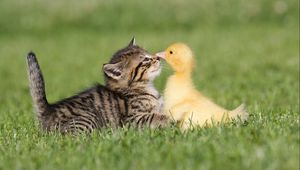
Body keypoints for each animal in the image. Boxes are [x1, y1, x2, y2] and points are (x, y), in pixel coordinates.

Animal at [27, 38, 170, 134]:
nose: (158, 58)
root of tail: (48, 110)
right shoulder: (132, 120)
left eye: (149, 54)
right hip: (88, 119)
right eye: (145, 60)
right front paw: (171, 120)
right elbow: (157, 116)